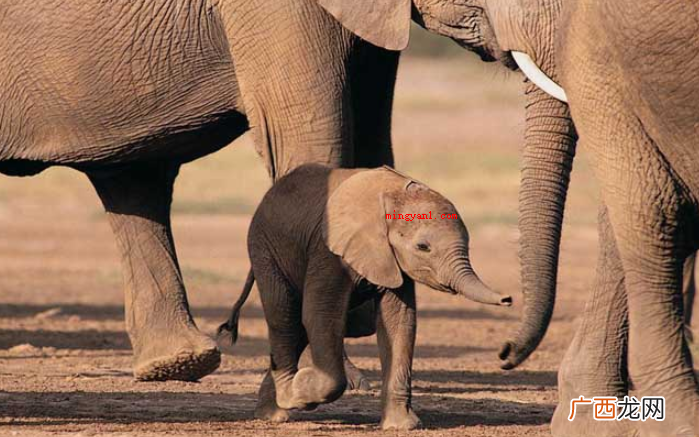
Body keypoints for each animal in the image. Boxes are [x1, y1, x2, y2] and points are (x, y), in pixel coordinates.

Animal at [217, 164, 512, 429]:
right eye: (423, 247)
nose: (508, 299)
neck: (393, 195)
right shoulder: (328, 250)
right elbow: (320, 315)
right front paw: (302, 391)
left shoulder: (391, 258)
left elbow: (399, 323)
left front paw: (402, 426)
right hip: (265, 249)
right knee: (286, 318)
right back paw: (287, 402)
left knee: (297, 328)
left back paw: (272, 410)